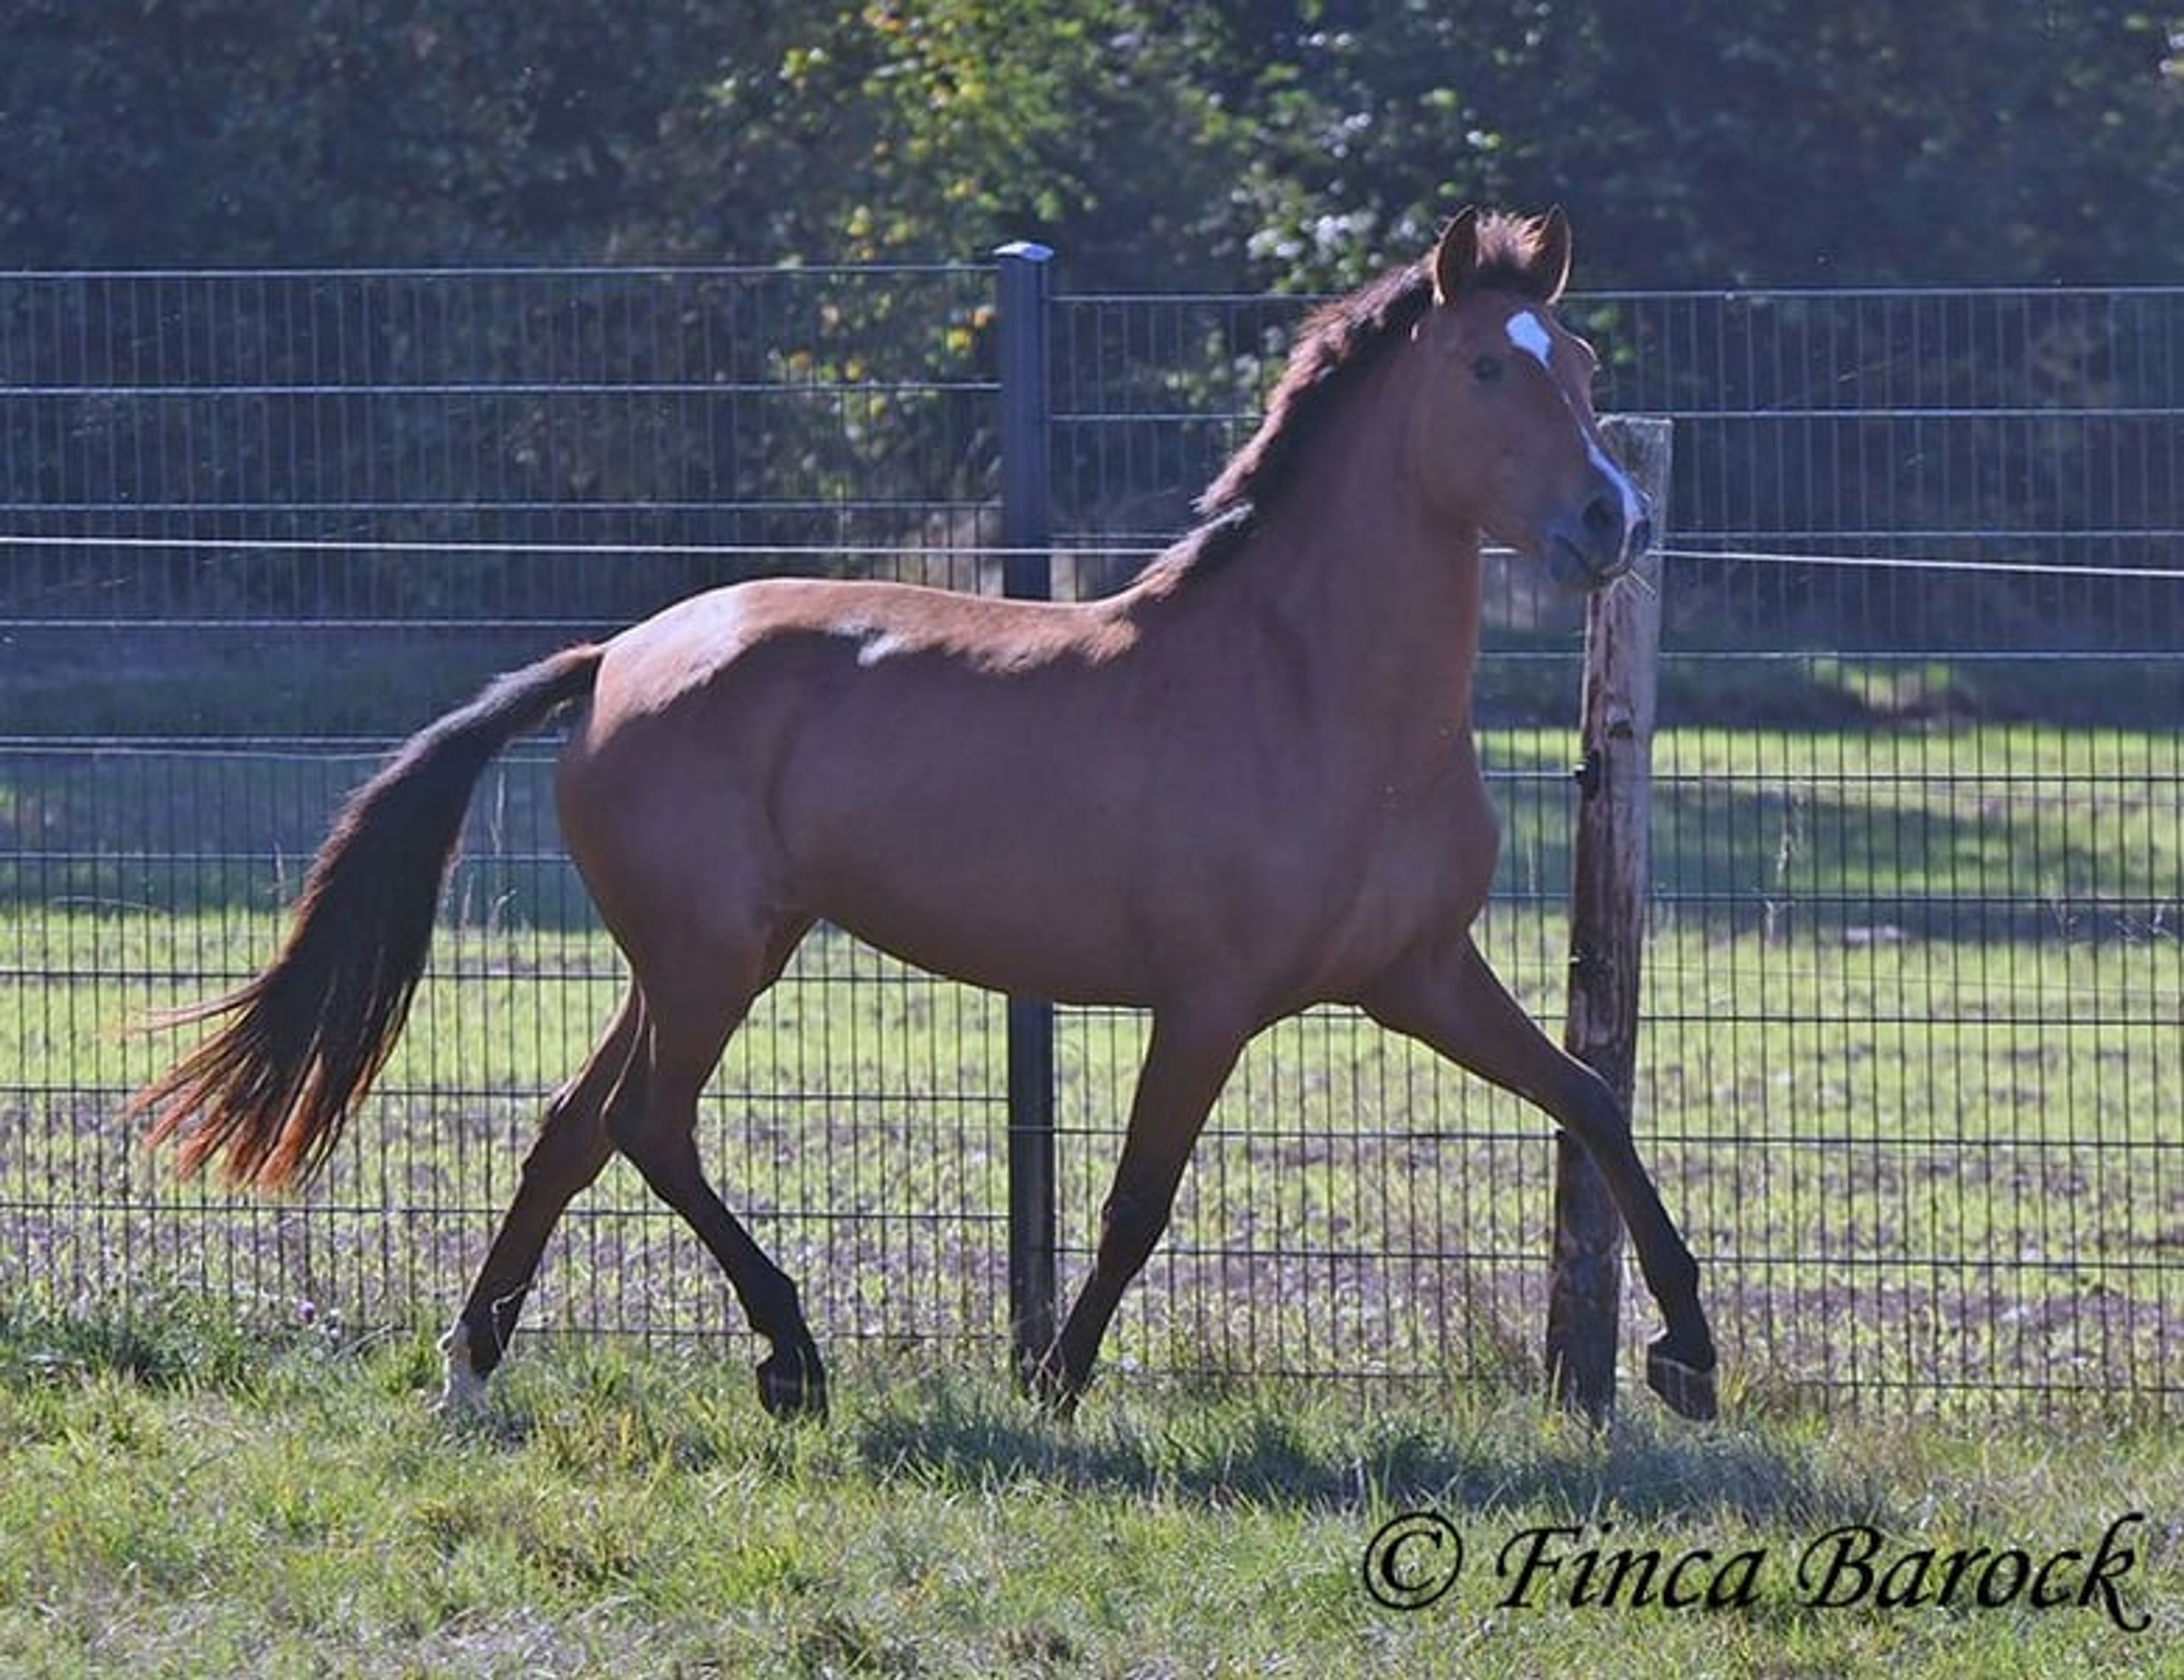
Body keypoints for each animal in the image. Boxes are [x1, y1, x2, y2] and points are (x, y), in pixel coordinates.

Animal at [130, 208, 1718, 1424]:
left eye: (1582, 364)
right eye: (1482, 368)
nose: (1611, 520)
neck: (1317, 691)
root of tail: (616, 658)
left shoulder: (1418, 974)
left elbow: (1590, 1100)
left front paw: (1686, 1356)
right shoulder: (1211, 1003)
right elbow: (1136, 1204)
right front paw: (1056, 1386)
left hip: (696, 959)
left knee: (575, 1129)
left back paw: (475, 1369)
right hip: (714, 959)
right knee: (647, 1125)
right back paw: (788, 1358)